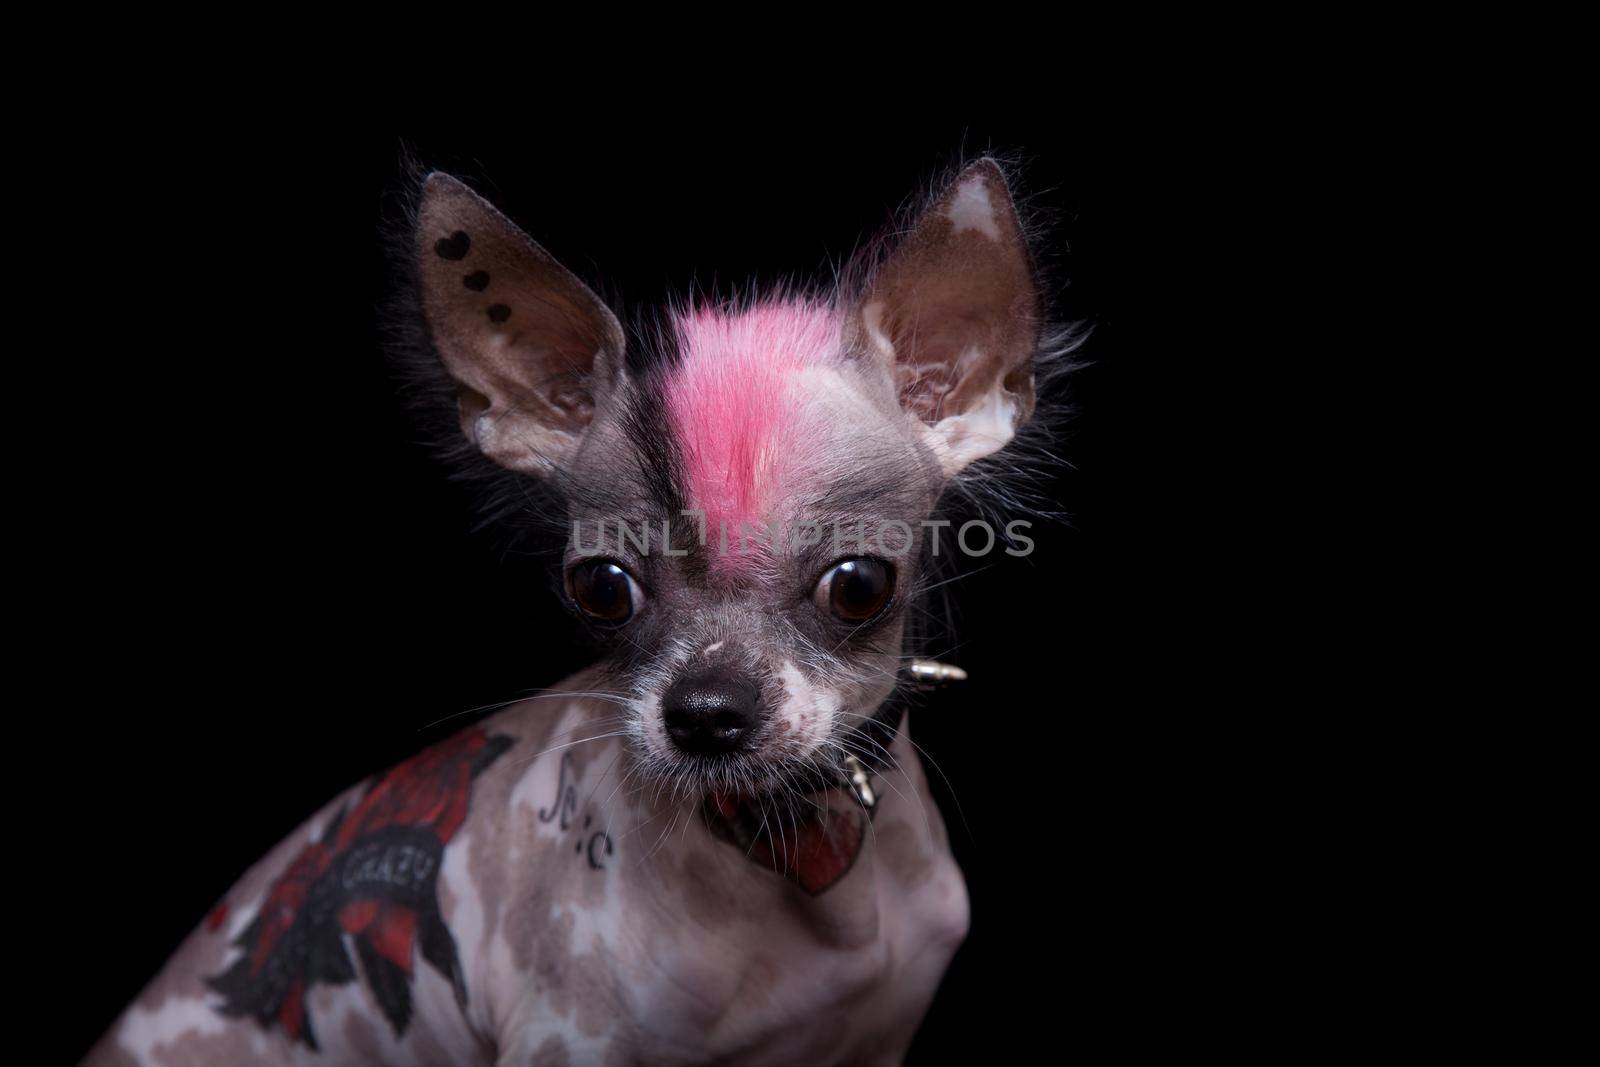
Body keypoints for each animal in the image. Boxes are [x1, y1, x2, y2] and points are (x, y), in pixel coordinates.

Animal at [84, 154, 1062, 1062]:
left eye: (859, 585)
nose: (704, 712)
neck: (796, 843)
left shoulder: (876, 1038)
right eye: (602, 587)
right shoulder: (568, 1041)